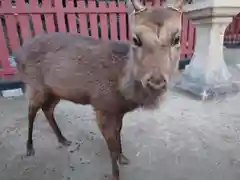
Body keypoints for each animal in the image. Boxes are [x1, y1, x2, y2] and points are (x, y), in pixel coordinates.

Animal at [14, 0, 191, 179]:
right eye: (136, 39)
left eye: (177, 38)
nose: (156, 82)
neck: (122, 90)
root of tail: (17, 54)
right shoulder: (102, 106)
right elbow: (111, 146)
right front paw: (116, 173)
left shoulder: (117, 110)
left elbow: (119, 133)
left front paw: (123, 157)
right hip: (35, 85)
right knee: (31, 110)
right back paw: (29, 148)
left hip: (55, 90)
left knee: (48, 109)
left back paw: (62, 139)